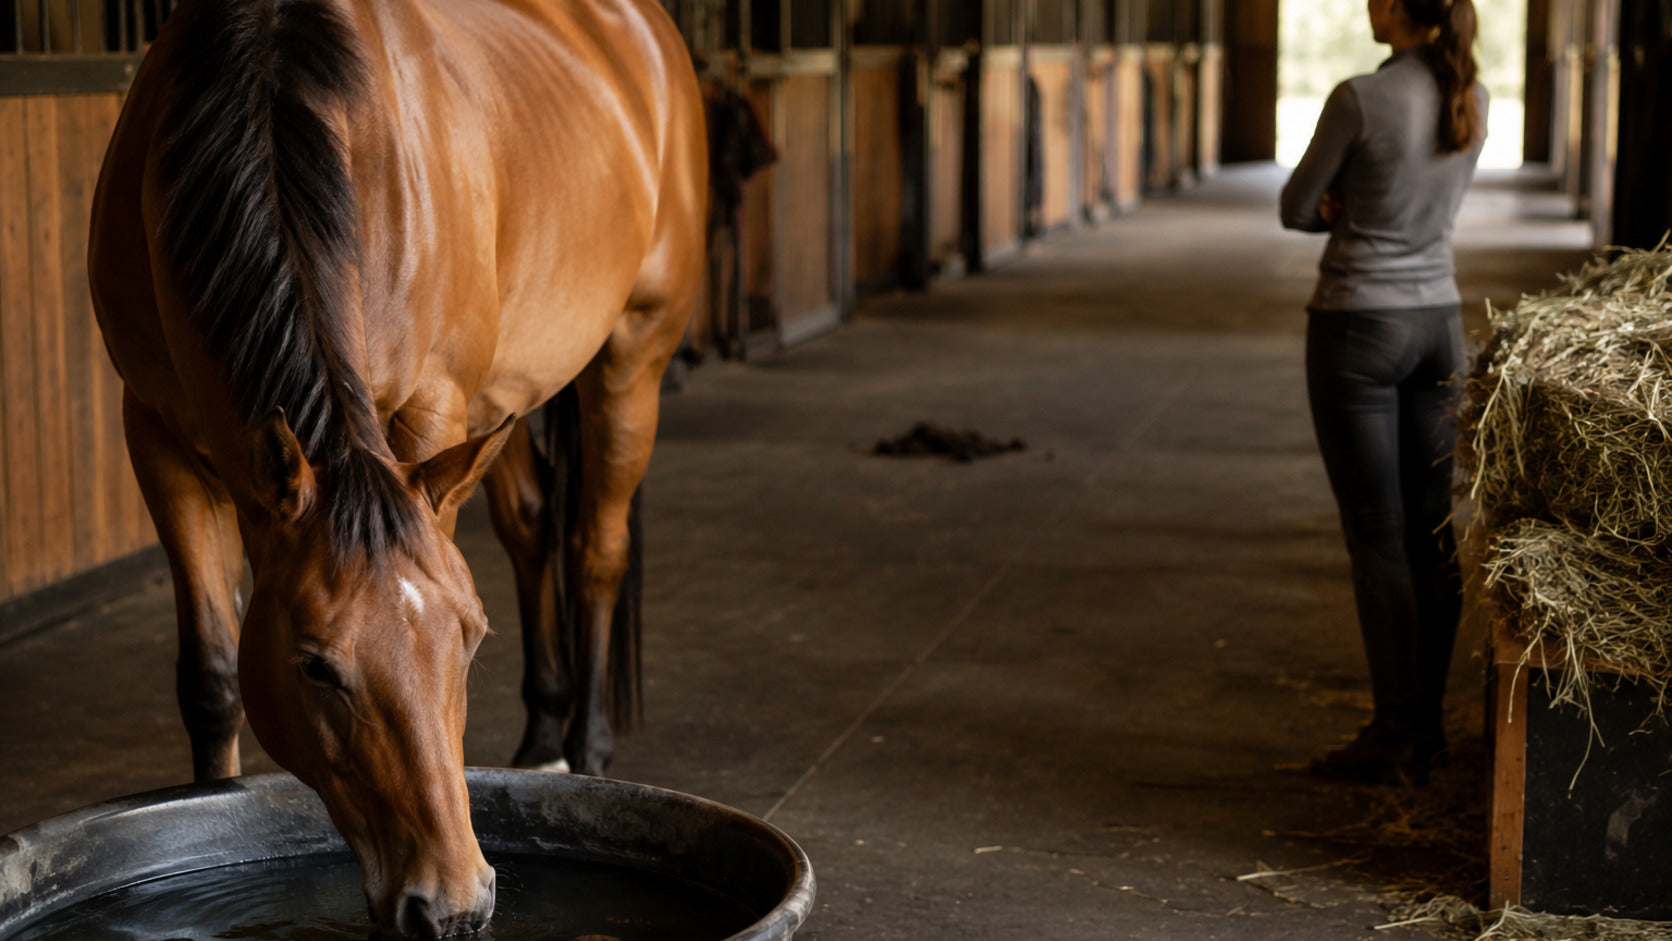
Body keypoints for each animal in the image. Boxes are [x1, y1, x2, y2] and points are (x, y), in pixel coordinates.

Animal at [87, 0, 706, 935]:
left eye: (469, 639)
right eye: (314, 665)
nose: (451, 906)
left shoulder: (429, 411)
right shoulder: (155, 433)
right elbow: (212, 676)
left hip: (632, 356)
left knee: (596, 549)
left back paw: (589, 747)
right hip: (504, 399)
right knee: (533, 528)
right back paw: (542, 740)